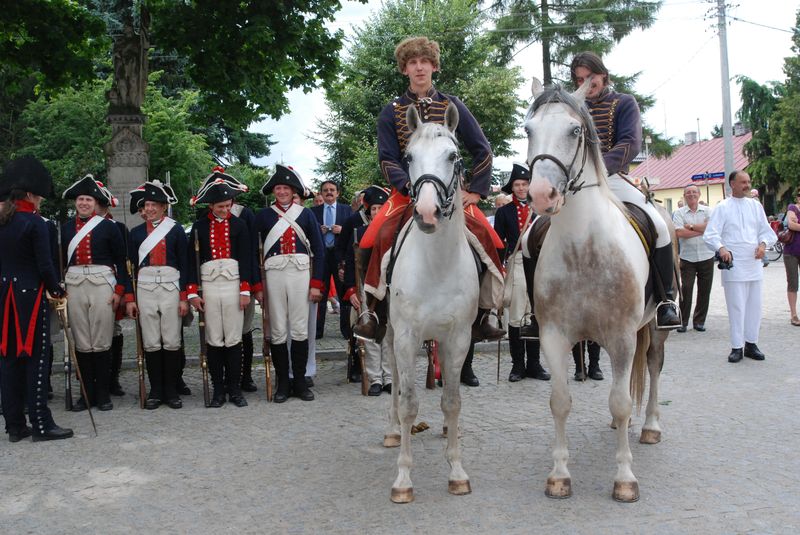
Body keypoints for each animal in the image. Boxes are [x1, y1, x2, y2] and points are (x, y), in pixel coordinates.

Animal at [522, 78, 674, 502]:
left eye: (575, 131)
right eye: (528, 129)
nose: (541, 195)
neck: (583, 249)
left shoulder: (622, 337)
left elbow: (622, 402)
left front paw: (624, 479)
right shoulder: (554, 336)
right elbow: (559, 401)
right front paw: (559, 475)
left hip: (653, 328)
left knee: (653, 366)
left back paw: (650, 426)